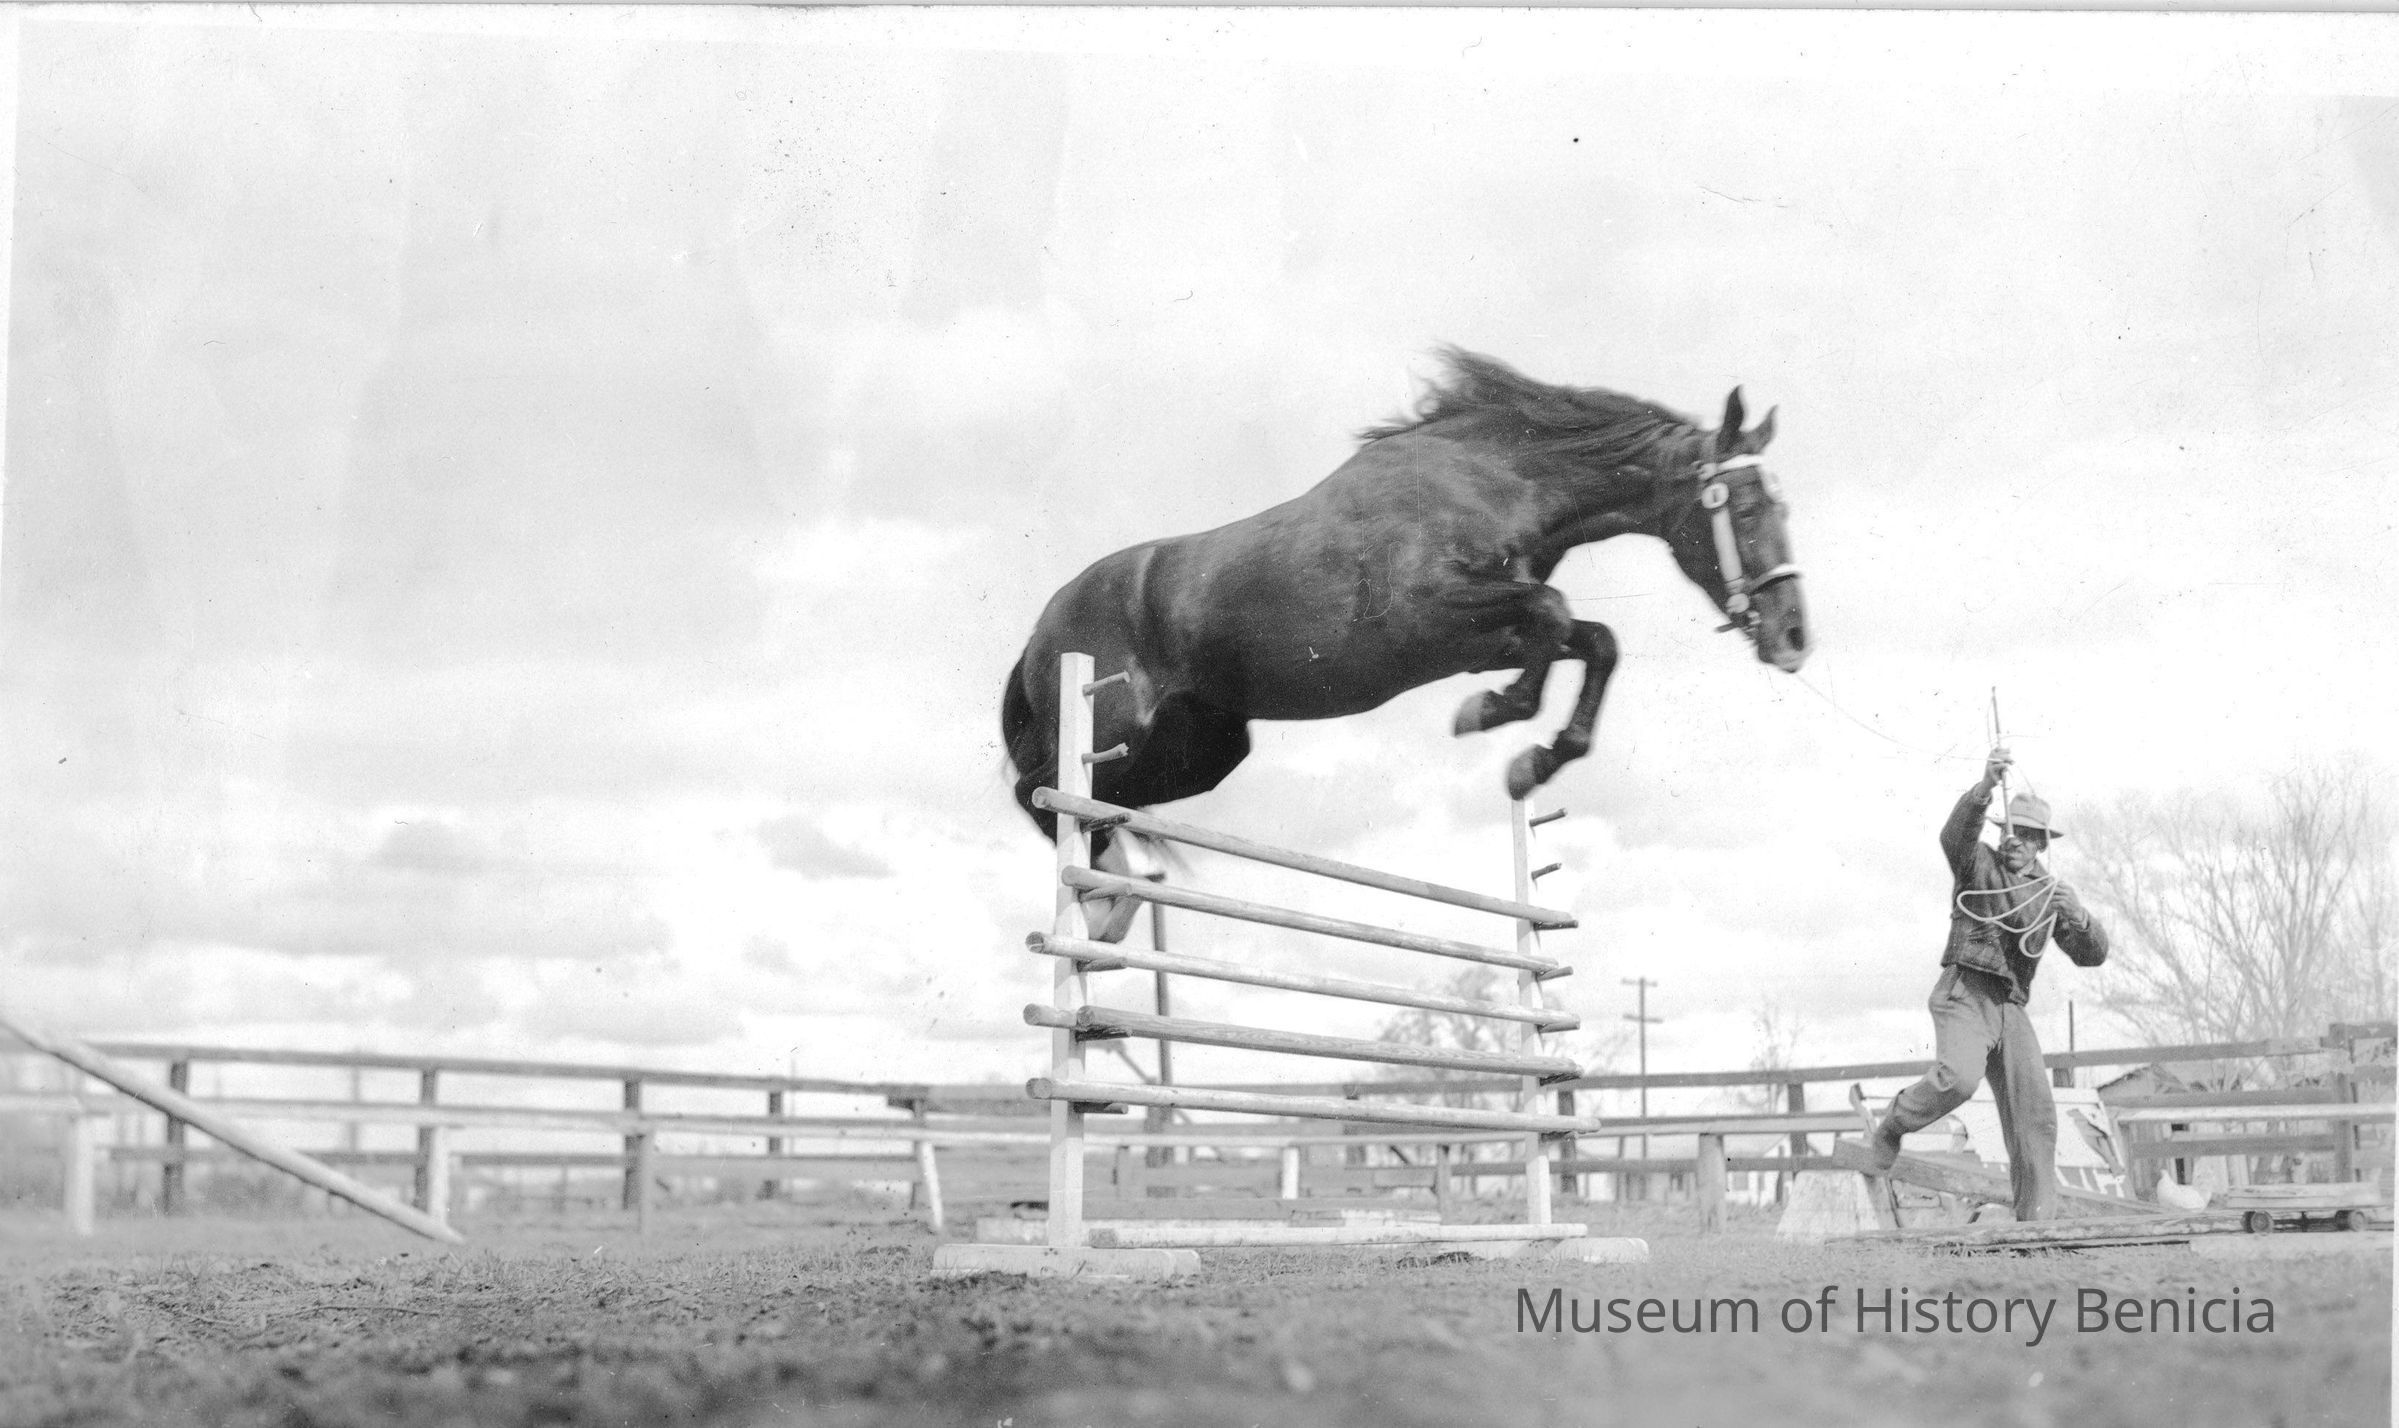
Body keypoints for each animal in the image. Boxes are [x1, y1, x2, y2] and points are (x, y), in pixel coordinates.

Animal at [1002, 348, 1808, 934]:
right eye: (1744, 506)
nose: (1794, 639)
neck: (1491, 483)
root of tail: (1039, 632)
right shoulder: (1433, 616)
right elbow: (1554, 613)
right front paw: (1493, 717)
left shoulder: (1483, 640)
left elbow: (1592, 640)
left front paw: (1529, 759)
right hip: (1115, 728)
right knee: (1040, 791)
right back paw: (1109, 898)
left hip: (1205, 750)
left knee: (1104, 803)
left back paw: (1120, 886)